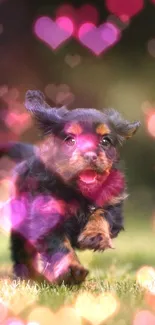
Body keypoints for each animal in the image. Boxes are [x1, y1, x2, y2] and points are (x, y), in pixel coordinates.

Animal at [0, 90, 140, 284]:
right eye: (70, 140)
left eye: (105, 141)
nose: (90, 155)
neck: (78, 190)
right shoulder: (46, 213)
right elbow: (60, 246)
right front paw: (72, 271)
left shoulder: (113, 204)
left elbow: (101, 214)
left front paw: (95, 235)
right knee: (22, 251)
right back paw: (27, 276)